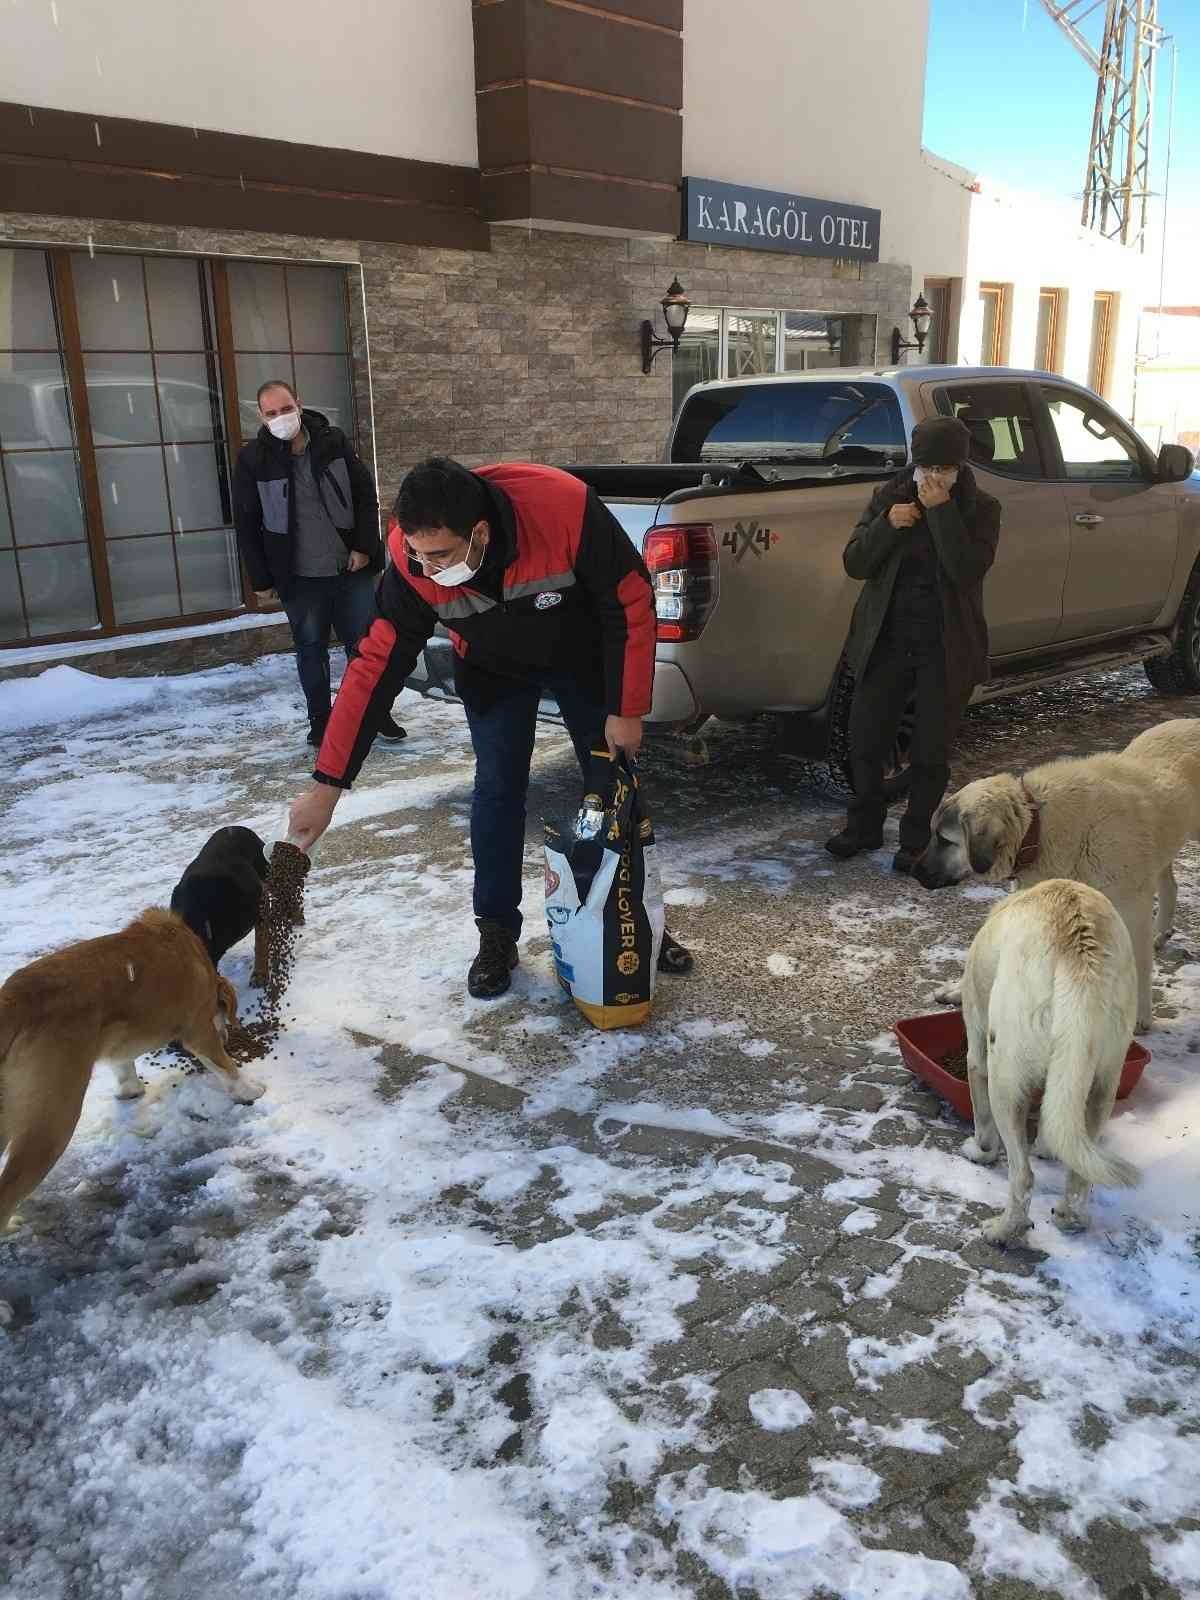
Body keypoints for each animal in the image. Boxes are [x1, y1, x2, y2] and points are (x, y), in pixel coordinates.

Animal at [0, 908, 264, 1228]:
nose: (228, 1035)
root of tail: (12, 1001)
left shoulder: (120, 1042)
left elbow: (124, 1065)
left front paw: (131, 1090)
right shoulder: (199, 1029)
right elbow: (224, 1065)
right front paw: (249, 1089)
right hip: (52, 1121)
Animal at [915, 720, 1200, 1030]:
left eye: (944, 840)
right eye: (933, 835)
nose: (915, 872)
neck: (1037, 827)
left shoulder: (1133, 908)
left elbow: (1139, 961)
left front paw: (1139, 1015)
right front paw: (961, 990)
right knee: (1169, 883)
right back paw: (1161, 933)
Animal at [966, 883, 1139, 1241]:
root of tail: (1080, 957)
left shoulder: (976, 1049)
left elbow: (983, 1124)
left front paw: (979, 1152)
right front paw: (1046, 1147)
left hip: (1004, 1078)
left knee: (1023, 1175)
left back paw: (1003, 1230)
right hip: (1104, 1076)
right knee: (1079, 1167)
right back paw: (1069, 1217)